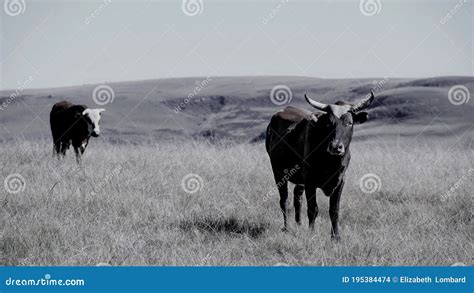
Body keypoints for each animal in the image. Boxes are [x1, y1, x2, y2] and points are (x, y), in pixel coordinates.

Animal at [266, 92, 374, 240]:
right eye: (329, 123)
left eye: (349, 123)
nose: (335, 146)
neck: (330, 161)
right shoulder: (310, 182)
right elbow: (313, 209)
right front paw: (312, 233)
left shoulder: (340, 181)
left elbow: (334, 210)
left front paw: (336, 237)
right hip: (278, 172)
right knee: (284, 200)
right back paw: (287, 228)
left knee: (297, 198)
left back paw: (298, 224)